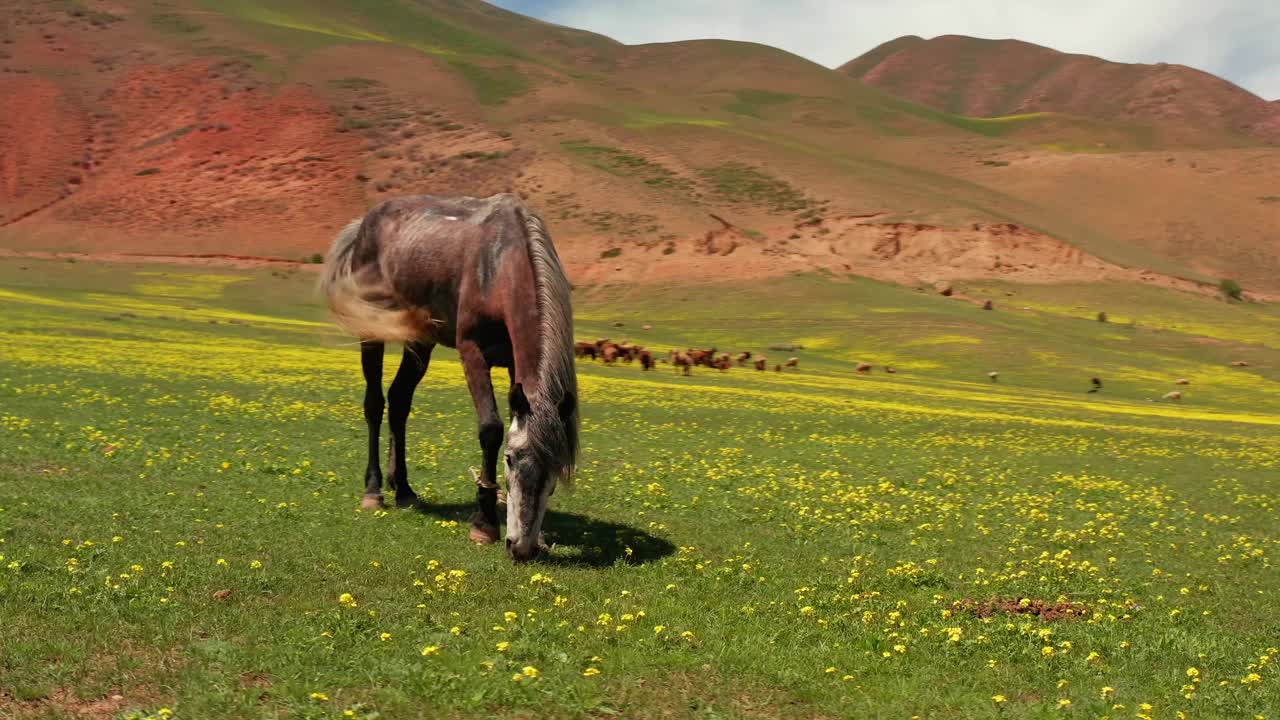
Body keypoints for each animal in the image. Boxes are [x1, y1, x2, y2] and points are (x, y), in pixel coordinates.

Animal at [320, 193, 581, 563]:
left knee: (399, 401)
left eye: (556, 472)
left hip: (420, 340)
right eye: (510, 459)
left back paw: (403, 489)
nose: (521, 548)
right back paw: (373, 491)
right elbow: (491, 429)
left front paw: (541, 535)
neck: (500, 267)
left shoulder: (516, 366)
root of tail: (365, 224)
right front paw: (484, 525)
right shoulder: (472, 351)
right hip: (371, 328)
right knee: (375, 403)